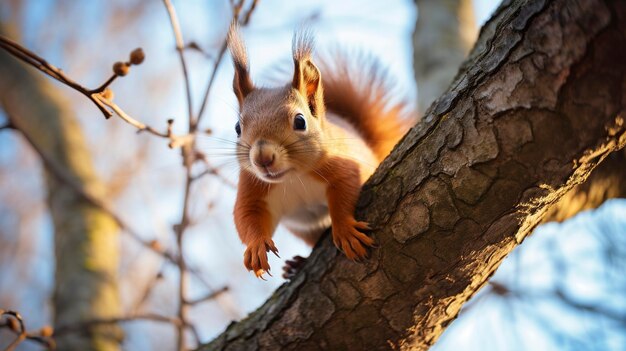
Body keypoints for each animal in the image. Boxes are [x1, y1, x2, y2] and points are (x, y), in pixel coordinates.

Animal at [224, 23, 410, 280]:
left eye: (300, 121)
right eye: (237, 128)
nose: (262, 158)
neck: (293, 178)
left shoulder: (342, 166)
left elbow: (343, 194)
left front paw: (345, 231)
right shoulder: (253, 188)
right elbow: (246, 216)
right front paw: (256, 246)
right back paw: (297, 264)